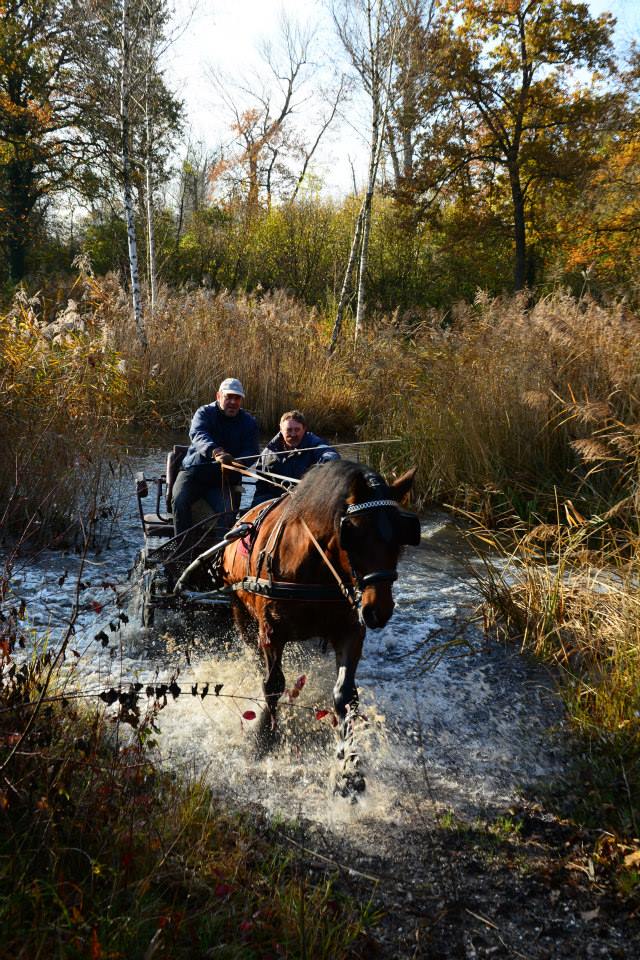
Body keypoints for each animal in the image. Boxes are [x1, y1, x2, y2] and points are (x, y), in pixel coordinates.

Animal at [220, 462, 420, 792]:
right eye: (353, 533)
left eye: (402, 535)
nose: (378, 610)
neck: (315, 568)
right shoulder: (271, 632)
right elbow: (273, 685)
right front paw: (263, 738)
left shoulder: (351, 630)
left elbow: (345, 695)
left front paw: (349, 767)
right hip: (240, 610)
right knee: (253, 654)